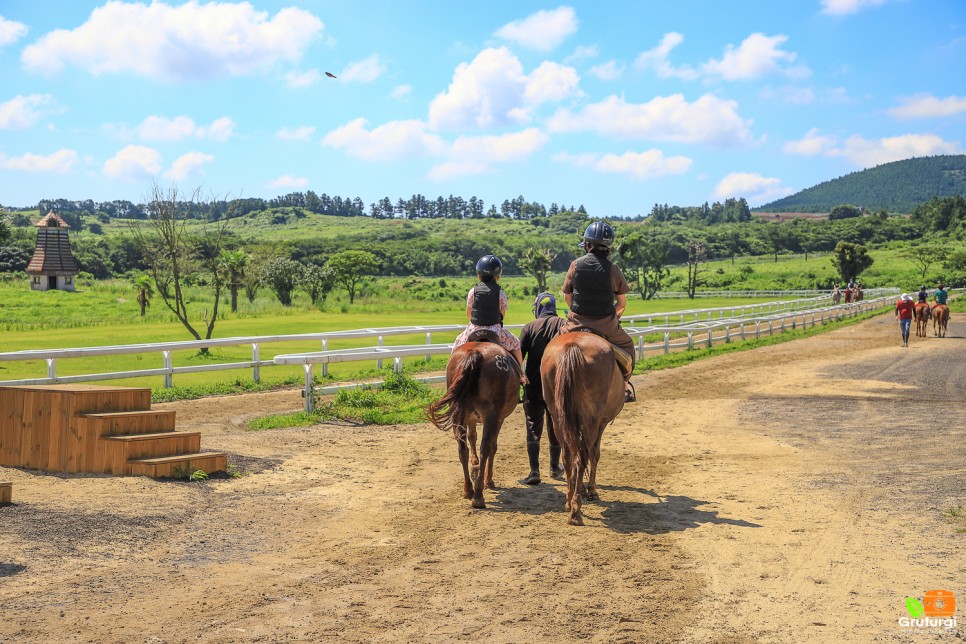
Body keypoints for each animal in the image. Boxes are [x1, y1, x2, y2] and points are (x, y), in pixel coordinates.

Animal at [430, 340, 520, 510]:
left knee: (462, 448)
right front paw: (489, 480)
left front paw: (474, 463)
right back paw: (478, 495)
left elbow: (472, 437)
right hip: (491, 415)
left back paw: (468, 489)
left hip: (459, 413)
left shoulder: (470, 418)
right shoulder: (498, 419)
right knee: (486, 448)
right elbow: (492, 446)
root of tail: (475, 353)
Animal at [540, 332, 624, 524]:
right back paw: (576, 509)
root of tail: (572, 345)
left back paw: (569, 501)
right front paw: (591, 490)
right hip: (591, 420)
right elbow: (595, 454)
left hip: (558, 418)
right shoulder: (601, 423)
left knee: (568, 457)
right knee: (582, 457)